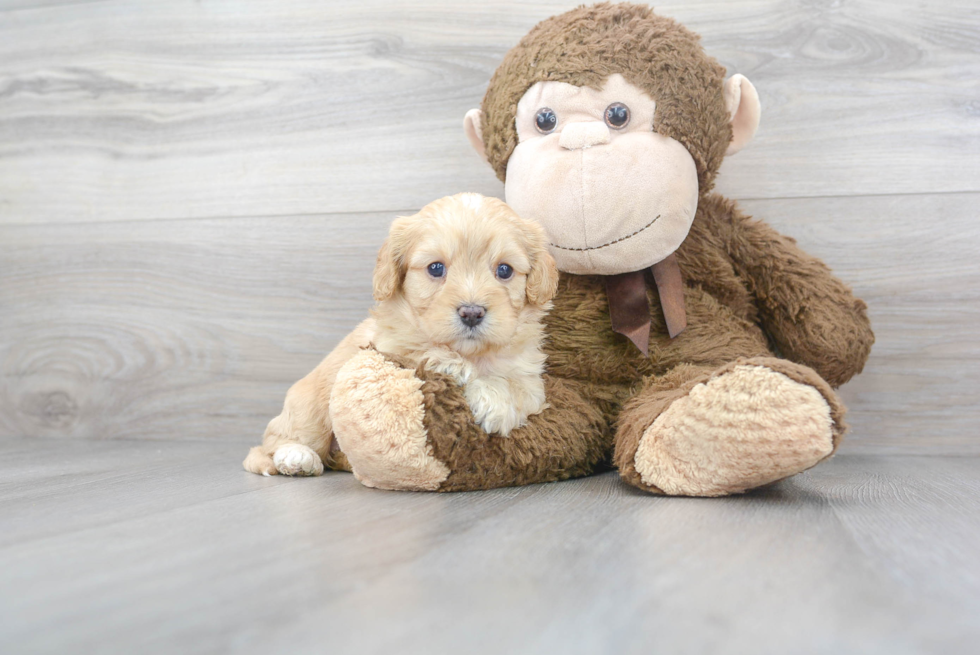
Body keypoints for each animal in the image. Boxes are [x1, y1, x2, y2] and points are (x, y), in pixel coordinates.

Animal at [241, 192, 556, 480]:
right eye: (436, 268)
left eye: (504, 270)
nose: (471, 312)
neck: (473, 352)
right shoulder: (389, 345)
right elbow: (423, 350)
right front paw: (456, 367)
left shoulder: (530, 377)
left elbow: (520, 390)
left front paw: (496, 404)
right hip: (308, 410)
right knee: (270, 444)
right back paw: (296, 457)